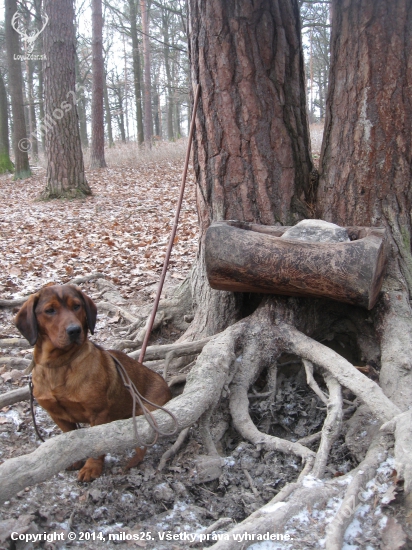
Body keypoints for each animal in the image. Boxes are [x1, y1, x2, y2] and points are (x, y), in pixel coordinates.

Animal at [14, 284, 171, 484]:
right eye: (50, 310)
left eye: (76, 306)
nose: (74, 330)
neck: (59, 364)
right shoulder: (57, 415)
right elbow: (69, 438)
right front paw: (75, 459)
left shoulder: (98, 413)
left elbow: (96, 446)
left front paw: (91, 467)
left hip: (146, 413)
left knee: (141, 445)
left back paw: (132, 462)